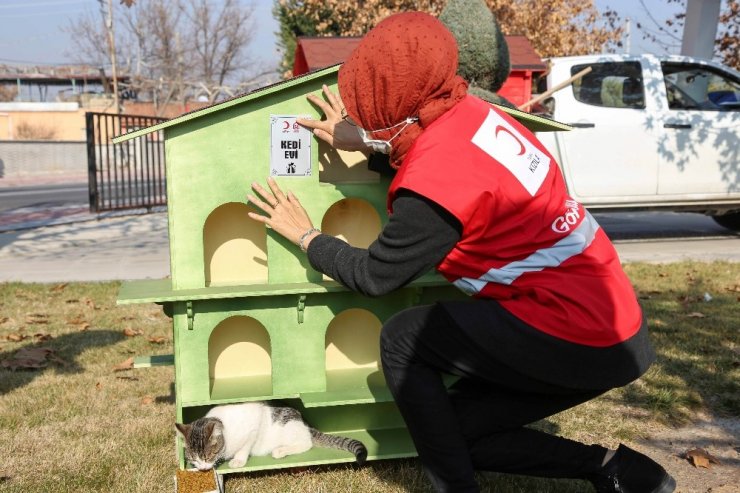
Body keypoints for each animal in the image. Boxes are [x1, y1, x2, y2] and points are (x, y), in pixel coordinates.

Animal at [176, 400, 368, 468]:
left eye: (208, 456)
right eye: (193, 459)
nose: (202, 468)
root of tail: (305, 422)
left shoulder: (255, 419)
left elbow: (245, 447)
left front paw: (238, 460)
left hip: (290, 431)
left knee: (306, 443)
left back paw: (280, 451)